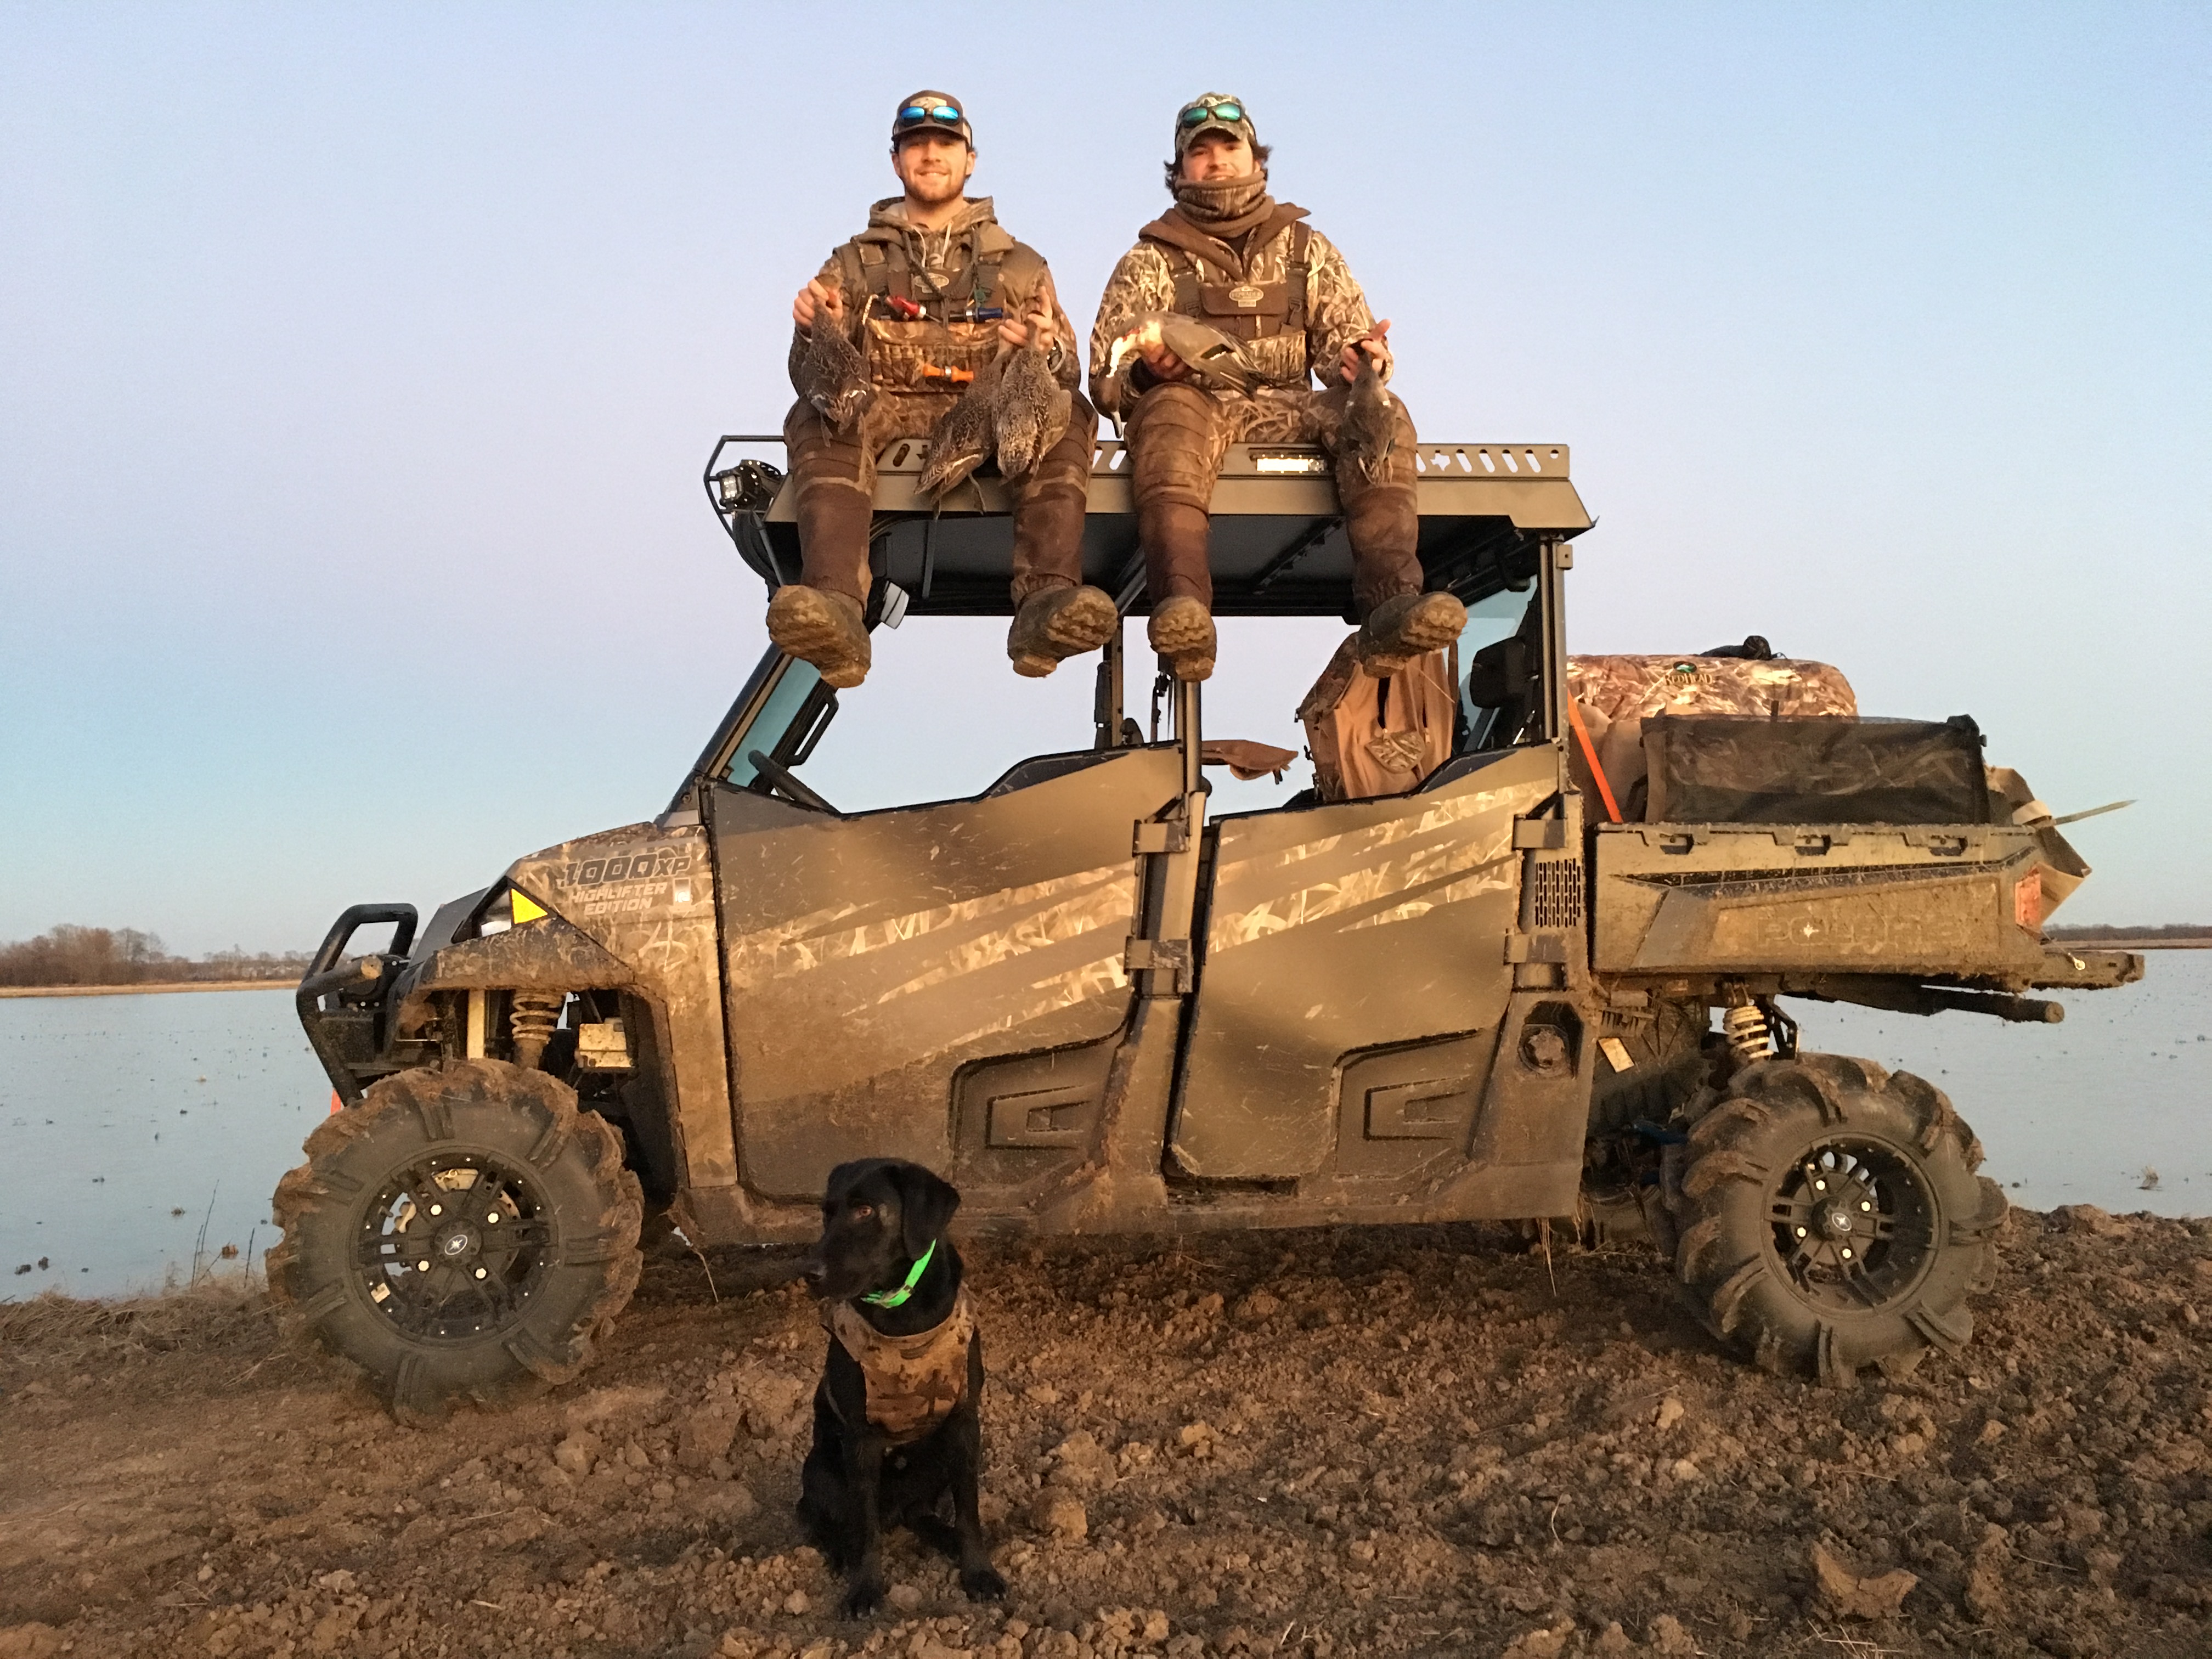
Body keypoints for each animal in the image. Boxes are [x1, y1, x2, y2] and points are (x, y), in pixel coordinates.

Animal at [796, 1159, 1004, 1619]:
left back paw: (943, 1537)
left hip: (937, 1459)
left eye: (866, 1211)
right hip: (818, 1469)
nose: (809, 1274)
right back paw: (842, 1553)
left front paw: (979, 1572)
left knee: (918, 1512)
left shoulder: (965, 1424)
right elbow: (865, 1528)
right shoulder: (861, 1440)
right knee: (827, 1521)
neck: (904, 1316)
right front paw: (865, 1589)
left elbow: (969, 1511)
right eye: (826, 1213)